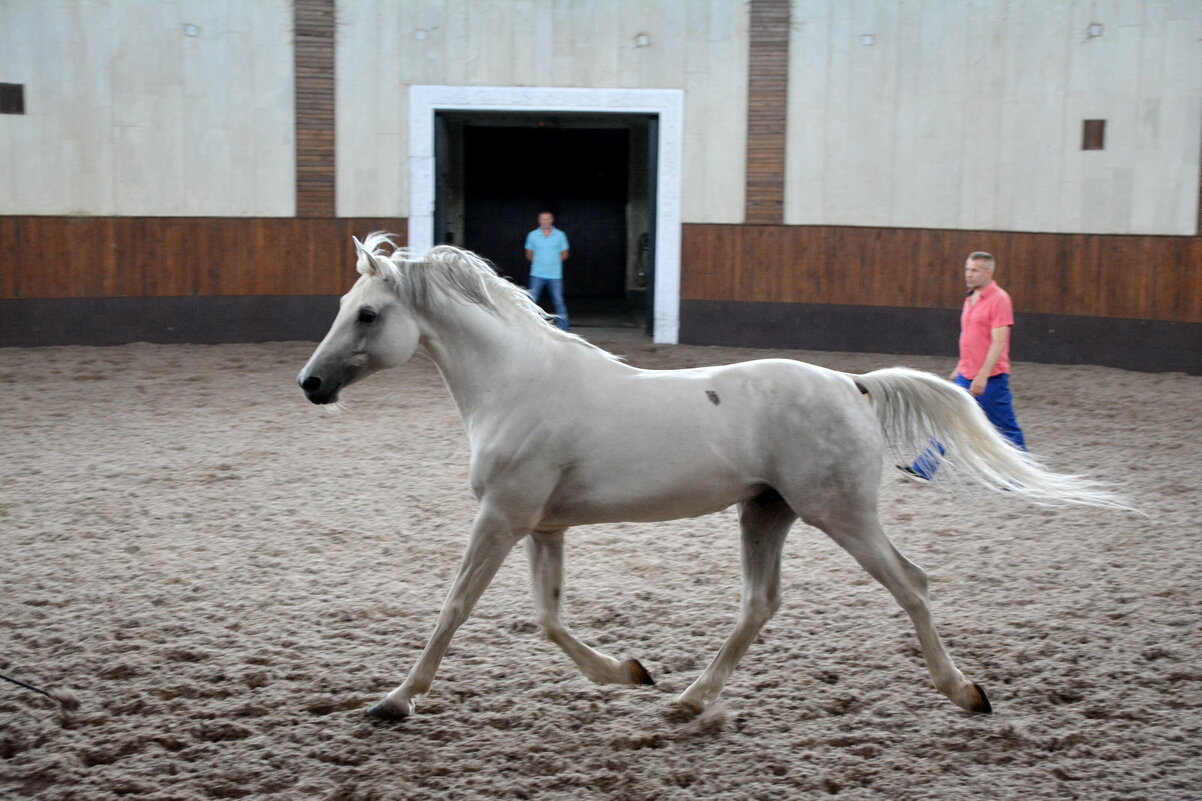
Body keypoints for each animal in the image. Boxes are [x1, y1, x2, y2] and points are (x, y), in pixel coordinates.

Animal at [295, 234, 1120, 721]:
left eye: (367, 314)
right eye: (342, 306)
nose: (310, 384)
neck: (516, 383)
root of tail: (851, 384)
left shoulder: (501, 516)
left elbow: (455, 607)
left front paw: (393, 700)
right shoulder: (541, 524)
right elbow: (549, 618)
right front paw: (629, 671)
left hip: (839, 514)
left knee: (910, 583)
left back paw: (966, 691)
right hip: (766, 512)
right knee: (760, 604)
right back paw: (690, 698)